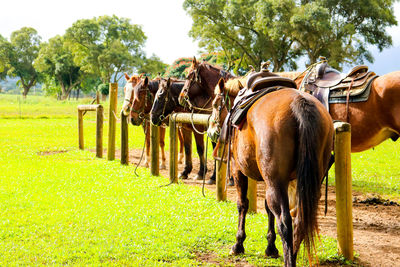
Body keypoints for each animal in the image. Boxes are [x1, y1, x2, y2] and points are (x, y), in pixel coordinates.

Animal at [208, 78, 332, 266]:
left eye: (216, 104)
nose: (211, 132)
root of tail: (300, 103)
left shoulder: (238, 170)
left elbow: (242, 204)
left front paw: (238, 244)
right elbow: (267, 209)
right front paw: (271, 247)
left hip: (274, 182)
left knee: (285, 222)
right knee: (299, 221)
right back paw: (292, 254)